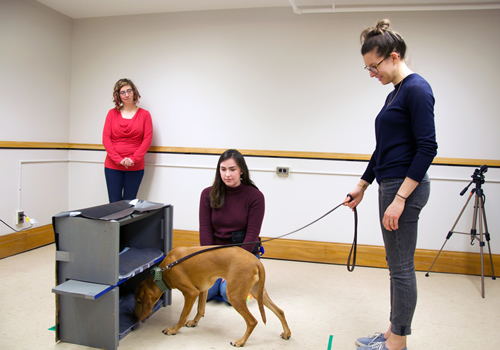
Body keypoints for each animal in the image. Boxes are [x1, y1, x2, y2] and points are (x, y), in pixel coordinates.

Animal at [135, 246, 292, 348]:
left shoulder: (191, 293)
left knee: (252, 321)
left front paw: (173, 330)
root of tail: (256, 260)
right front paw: (194, 322)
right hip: (258, 293)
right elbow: (200, 309)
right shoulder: (202, 289)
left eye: (138, 301)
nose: (134, 317)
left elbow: (182, 316)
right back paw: (287, 333)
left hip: (235, 296)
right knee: (280, 311)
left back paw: (241, 342)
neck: (163, 271)